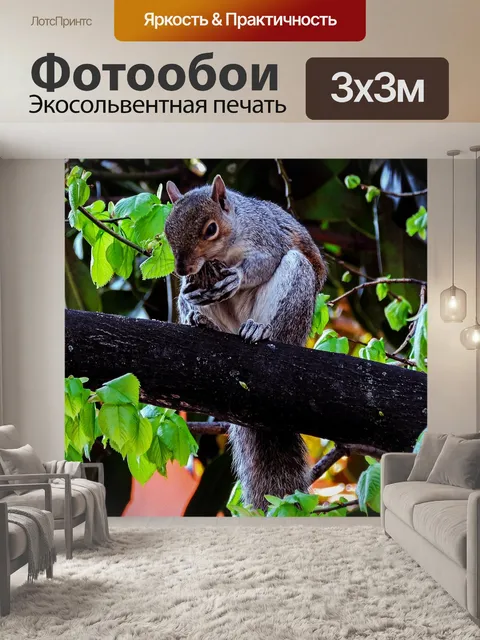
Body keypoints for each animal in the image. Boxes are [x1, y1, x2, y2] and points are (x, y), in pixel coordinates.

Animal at [164, 175, 327, 510]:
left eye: (210, 229)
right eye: (167, 229)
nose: (182, 268)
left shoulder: (268, 239)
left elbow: (264, 263)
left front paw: (236, 277)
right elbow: (186, 291)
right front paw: (189, 295)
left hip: (293, 295)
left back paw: (259, 329)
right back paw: (202, 321)